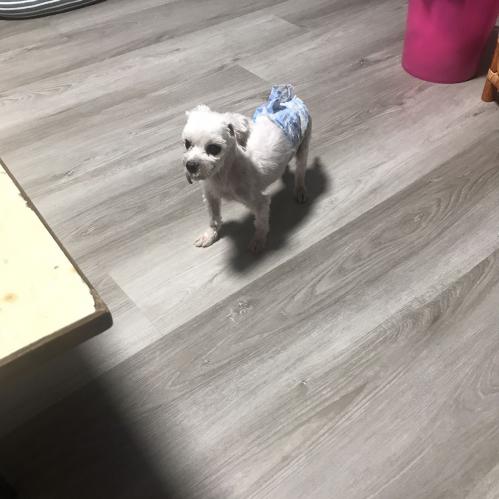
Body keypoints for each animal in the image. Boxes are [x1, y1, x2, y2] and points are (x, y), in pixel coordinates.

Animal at [181, 84, 311, 253]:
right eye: (187, 143)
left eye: (214, 149)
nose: (190, 165)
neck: (224, 173)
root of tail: (291, 100)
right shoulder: (210, 195)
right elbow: (214, 218)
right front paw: (210, 235)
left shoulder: (259, 202)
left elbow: (261, 223)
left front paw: (258, 241)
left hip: (304, 144)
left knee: (301, 171)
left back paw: (300, 189)